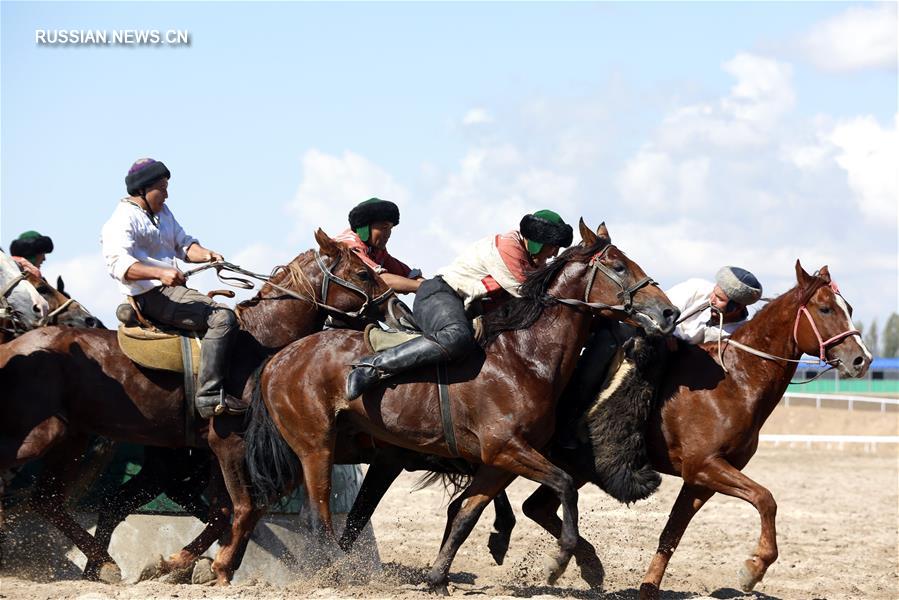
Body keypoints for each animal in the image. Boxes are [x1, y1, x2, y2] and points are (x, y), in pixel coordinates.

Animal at [0, 231, 394, 584]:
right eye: (363, 273)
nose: (396, 306)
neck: (258, 343)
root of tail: (15, 347)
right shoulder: (228, 445)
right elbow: (240, 508)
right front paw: (206, 566)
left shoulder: (219, 453)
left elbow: (225, 512)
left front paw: (182, 564)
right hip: (44, 435)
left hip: (74, 439)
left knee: (49, 500)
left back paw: (105, 565)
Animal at [246, 219, 684, 592]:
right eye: (619, 266)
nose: (669, 311)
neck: (524, 358)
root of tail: (278, 357)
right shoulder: (506, 449)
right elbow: (563, 486)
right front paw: (560, 562)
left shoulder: (497, 463)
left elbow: (465, 515)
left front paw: (438, 577)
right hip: (316, 446)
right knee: (320, 512)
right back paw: (333, 573)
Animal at [486, 260, 872, 596]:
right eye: (825, 309)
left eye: (850, 307)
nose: (862, 359)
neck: (735, 381)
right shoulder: (705, 465)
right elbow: (766, 499)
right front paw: (753, 569)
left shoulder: (701, 480)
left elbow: (672, 533)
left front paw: (648, 587)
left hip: (573, 466)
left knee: (536, 507)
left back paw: (585, 564)